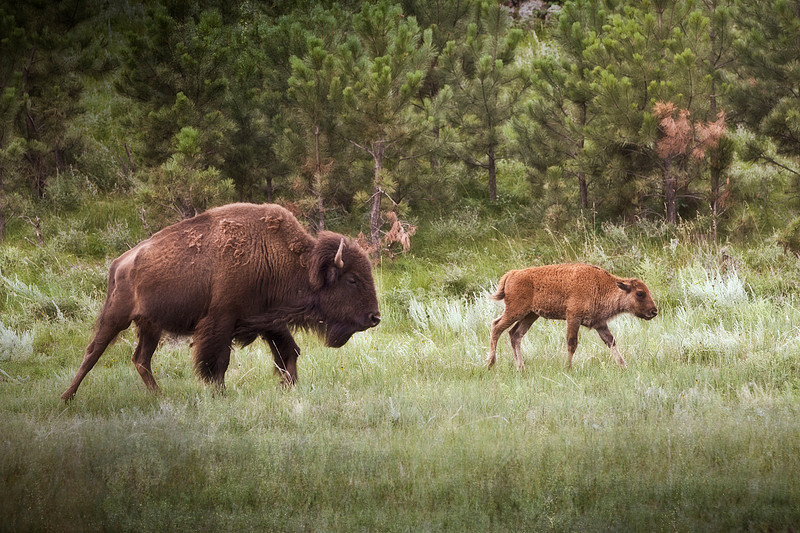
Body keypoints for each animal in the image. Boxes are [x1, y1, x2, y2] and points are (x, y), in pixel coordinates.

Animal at [61, 203, 380, 400]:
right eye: (352, 279)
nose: (375, 317)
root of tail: (120, 262)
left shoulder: (270, 320)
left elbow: (288, 352)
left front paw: (288, 387)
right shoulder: (222, 321)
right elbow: (218, 362)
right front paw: (220, 394)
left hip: (151, 326)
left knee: (141, 359)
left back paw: (160, 396)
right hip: (116, 316)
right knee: (93, 351)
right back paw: (67, 397)